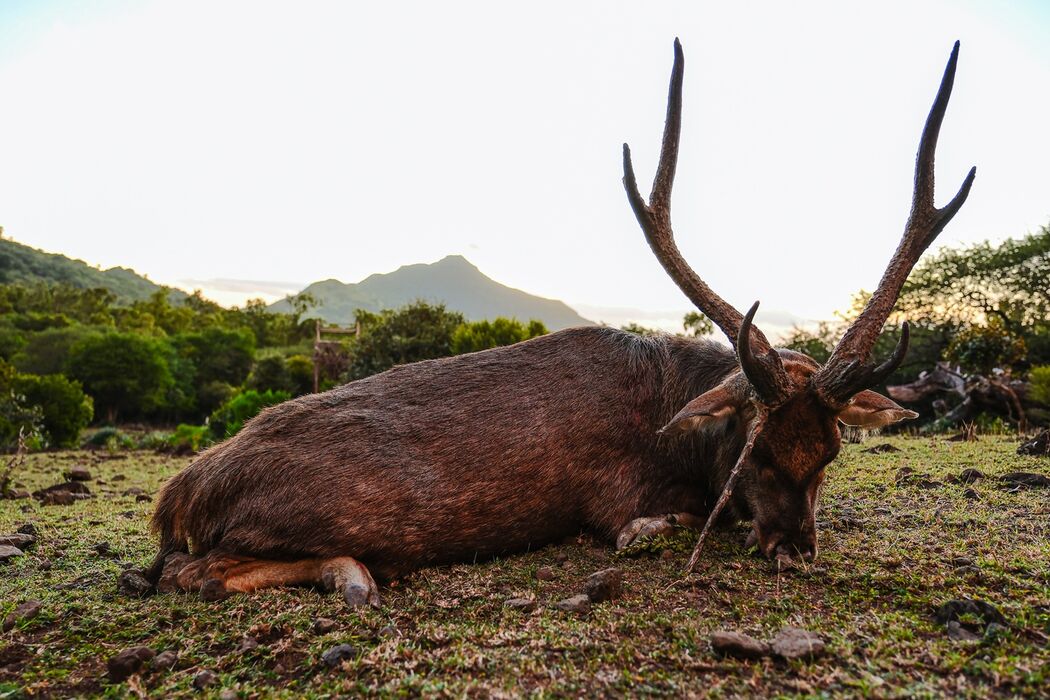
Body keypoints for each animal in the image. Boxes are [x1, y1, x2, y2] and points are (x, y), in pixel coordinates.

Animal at [143, 39, 970, 608]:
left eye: (830, 453)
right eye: (755, 452)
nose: (796, 548)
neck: (680, 429)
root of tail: (175, 495)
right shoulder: (619, 499)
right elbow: (648, 527)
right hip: (329, 518)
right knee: (196, 572)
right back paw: (351, 575)